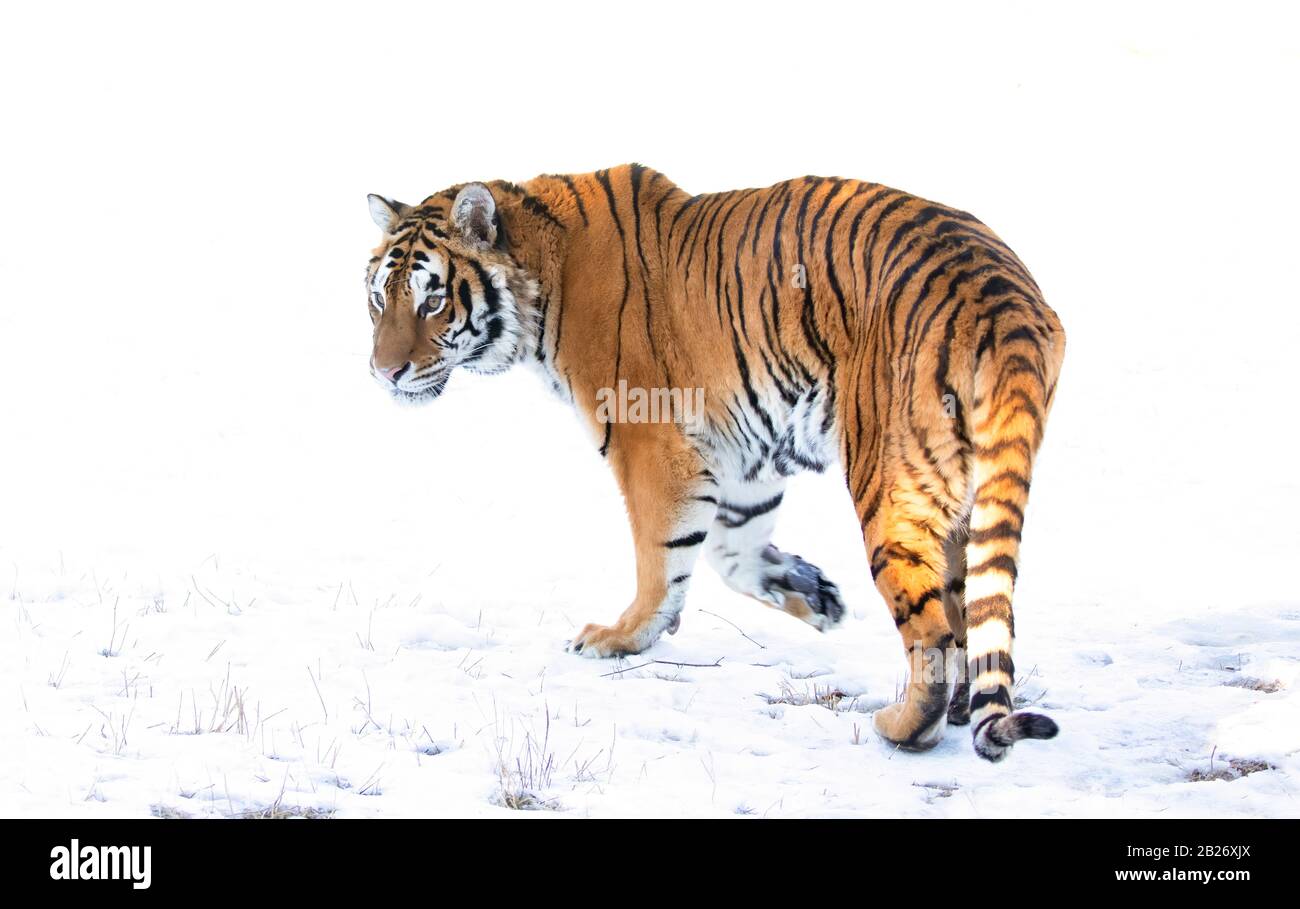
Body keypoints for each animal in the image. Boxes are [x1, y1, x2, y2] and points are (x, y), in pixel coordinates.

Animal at [364, 165, 1066, 759]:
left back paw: (904, 727)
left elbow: (660, 558)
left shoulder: (651, 445)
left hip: (890, 482)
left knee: (934, 633)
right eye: (378, 299)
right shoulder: (741, 454)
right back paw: (956, 711)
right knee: (969, 610)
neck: (542, 271)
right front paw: (811, 594)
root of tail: (1002, 292)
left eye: (432, 301)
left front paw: (621, 637)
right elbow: (735, 554)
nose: (383, 372)